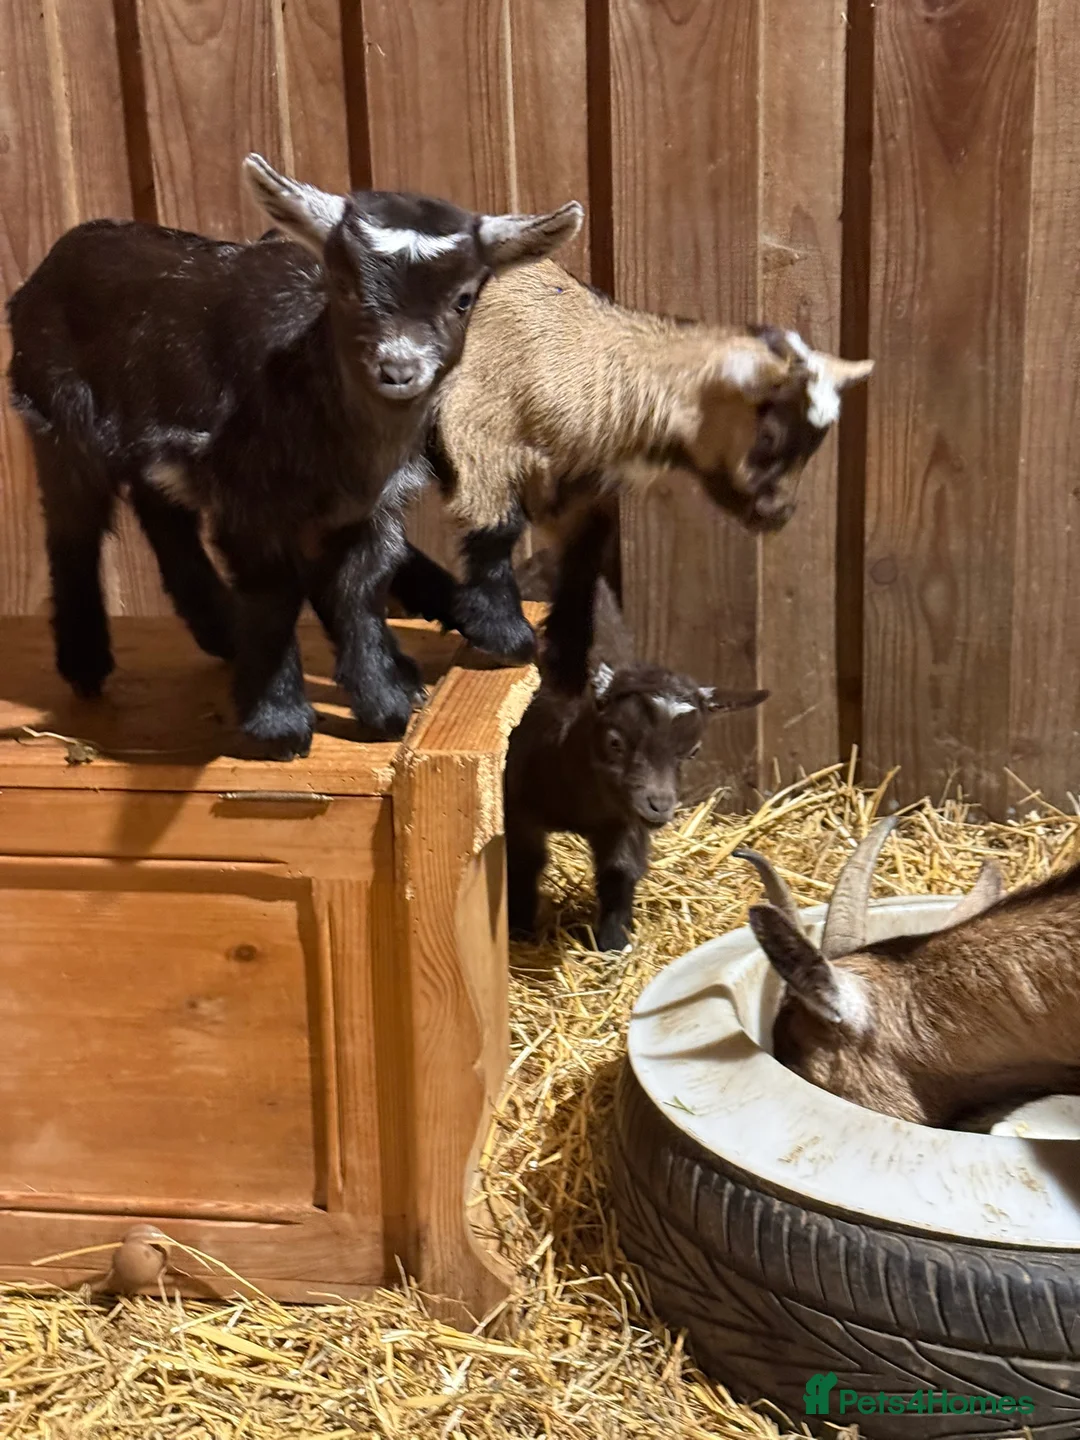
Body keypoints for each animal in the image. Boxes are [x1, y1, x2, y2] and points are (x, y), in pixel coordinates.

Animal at [7, 156, 582, 756]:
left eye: (463, 298)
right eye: (346, 285)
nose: (398, 369)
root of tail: (53, 262)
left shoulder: (369, 508)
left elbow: (359, 590)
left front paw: (385, 704)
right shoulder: (251, 503)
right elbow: (274, 597)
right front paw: (279, 721)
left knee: (161, 512)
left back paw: (218, 630)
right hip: (57, 422)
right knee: (74, 529)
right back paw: (86, 663)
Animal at [389, 257, 873, 690]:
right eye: (769, 436)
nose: (778, 514)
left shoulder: (566, 485)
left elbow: (585, 552)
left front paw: (566, 664)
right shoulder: (477, 432)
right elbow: (496, 529)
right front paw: (506, 638)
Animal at [505, 552, 766, 951]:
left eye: (692, 751)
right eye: (616, 741)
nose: (659, 805)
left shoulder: (624, 820)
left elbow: (620, 869)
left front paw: (615, 940)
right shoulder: (517, 806)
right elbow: (525, 862)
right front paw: (519, 931)